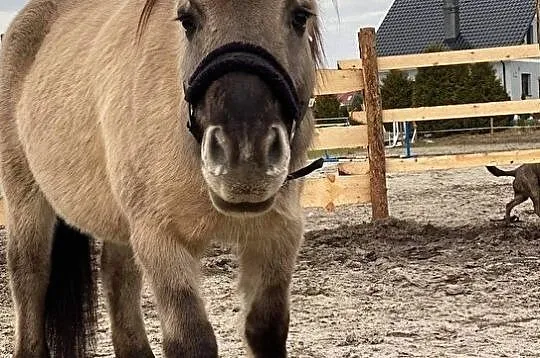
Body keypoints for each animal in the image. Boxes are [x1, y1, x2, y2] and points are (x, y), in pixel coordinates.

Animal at [0, 0, 322, 356]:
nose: (245, 157)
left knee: (118, 275)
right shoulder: (160, 238)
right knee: (30, 273)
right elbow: (191, 340)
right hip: (27, 202)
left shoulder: (277, 235)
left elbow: (265, 328)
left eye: (300, 16)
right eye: (187, 20)